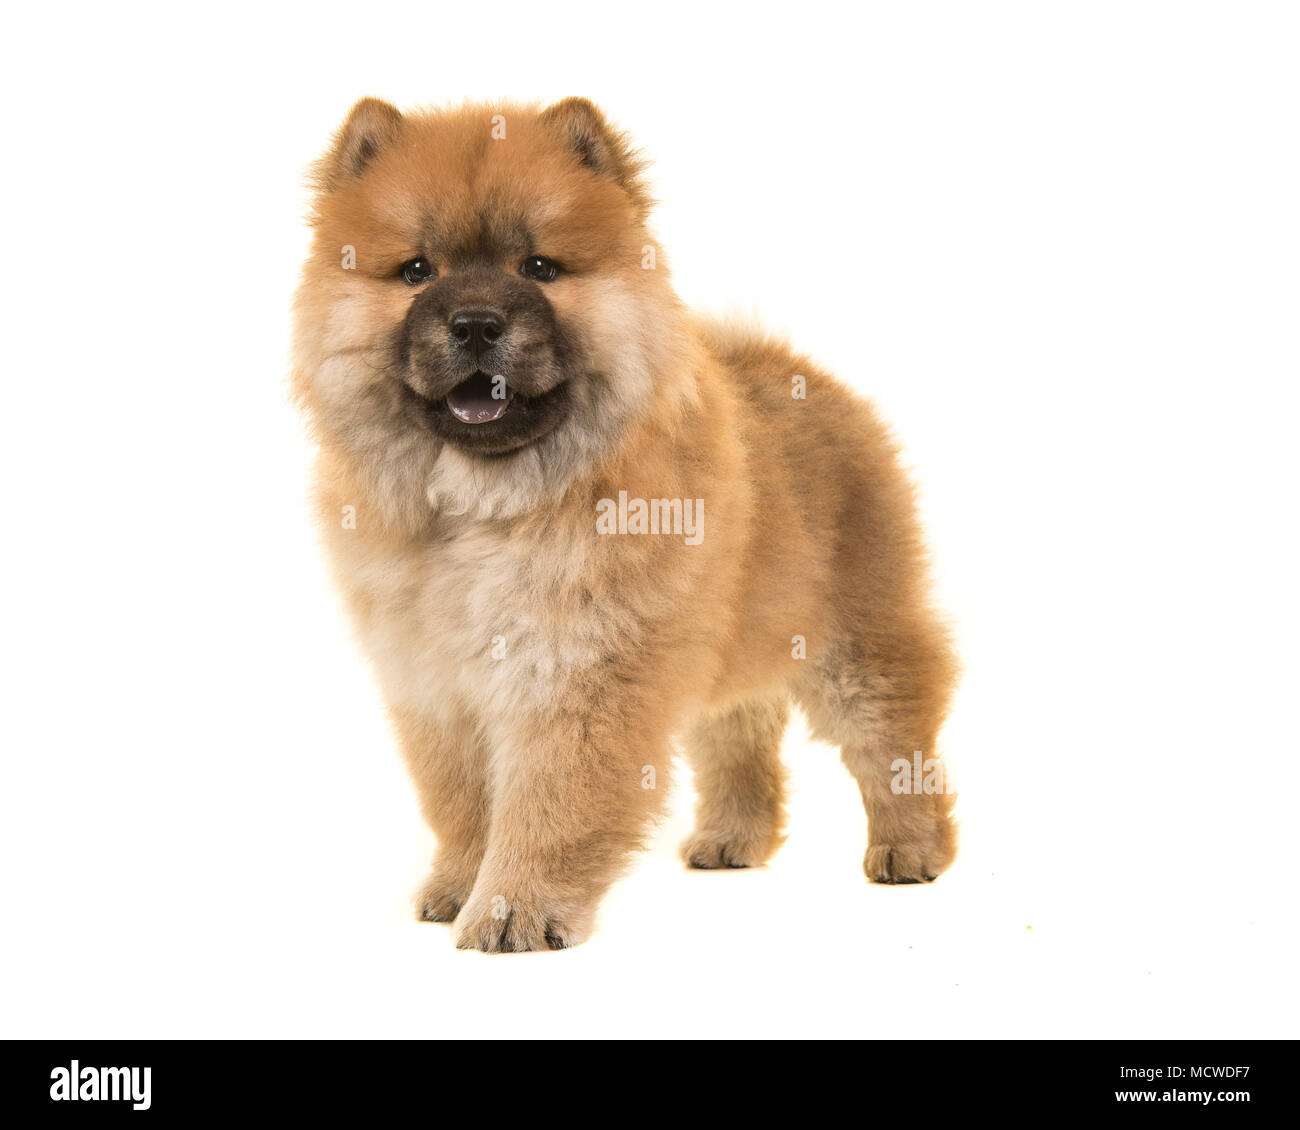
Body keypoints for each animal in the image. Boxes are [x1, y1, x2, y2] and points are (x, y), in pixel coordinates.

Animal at [299, 96, 961, 946]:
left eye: (539, 270)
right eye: (417, 272)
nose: (475, 323)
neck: (488, 506)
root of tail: (803, 374)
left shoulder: (580, 673)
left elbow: (547, 805)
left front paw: (513, 910)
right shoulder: (438, 688)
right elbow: (460, 807)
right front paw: (456, 887)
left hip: (856, 643)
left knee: (894, 739)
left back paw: (911, 849)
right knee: (740, 733)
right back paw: (730, 841)